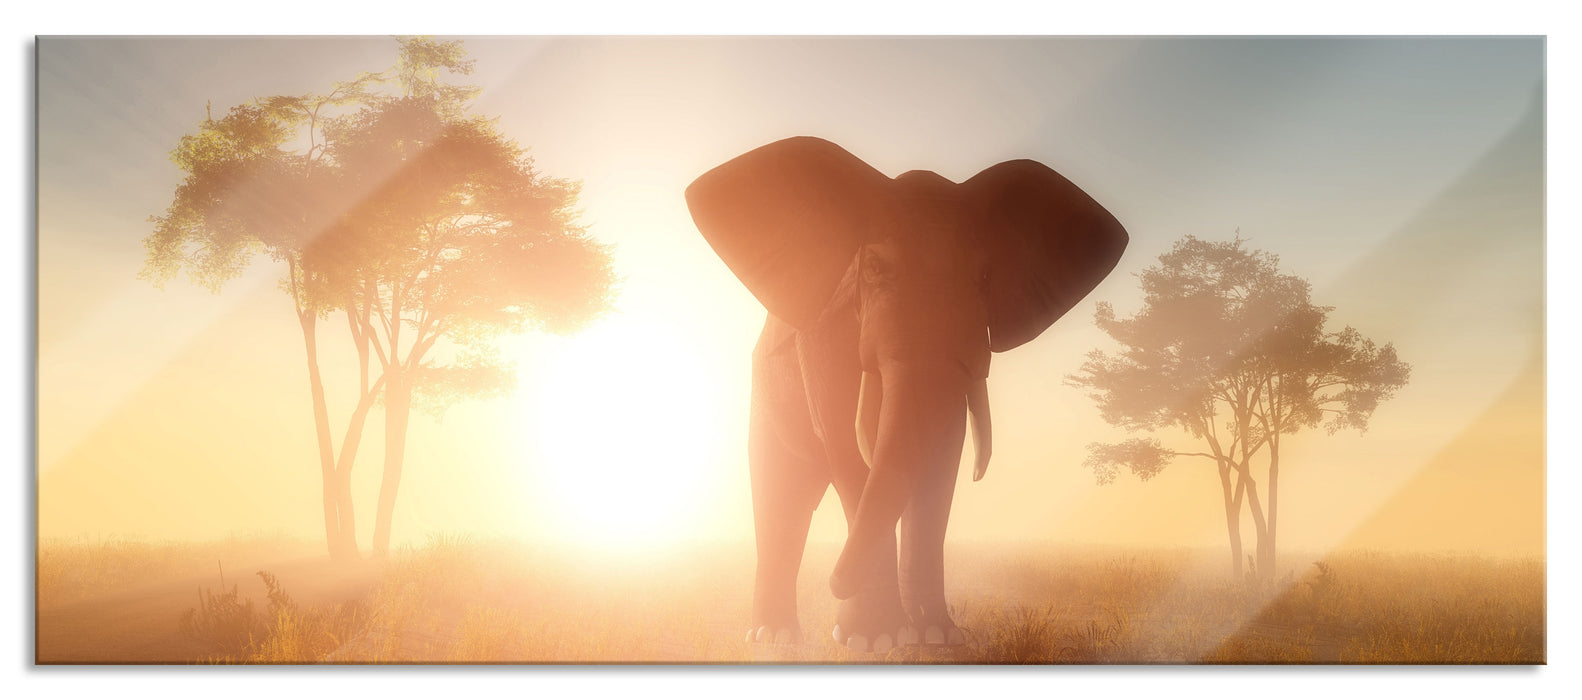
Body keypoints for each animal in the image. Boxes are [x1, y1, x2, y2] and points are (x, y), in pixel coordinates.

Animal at [685, 136, 1127, 652]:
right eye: (874, 268)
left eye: (984, 279)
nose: (835, 583)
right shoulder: (825, 332)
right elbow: (848, 447)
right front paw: (871, 640)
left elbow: (941, 455)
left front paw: (936, 636)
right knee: (782, 492)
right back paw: (772, 637)